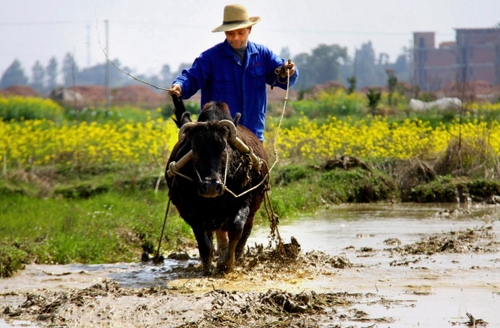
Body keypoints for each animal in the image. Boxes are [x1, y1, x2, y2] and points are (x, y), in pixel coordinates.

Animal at [166, 99, 270, 274]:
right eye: (195, 149)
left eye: (224, 147)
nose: (211, 187)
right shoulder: (191, 210)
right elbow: (203, 239)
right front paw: (207, 265)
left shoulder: (244, 201)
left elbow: (237, 228)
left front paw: (226, 262)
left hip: (252, 210)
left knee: (245, 230)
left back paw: (239, 255)